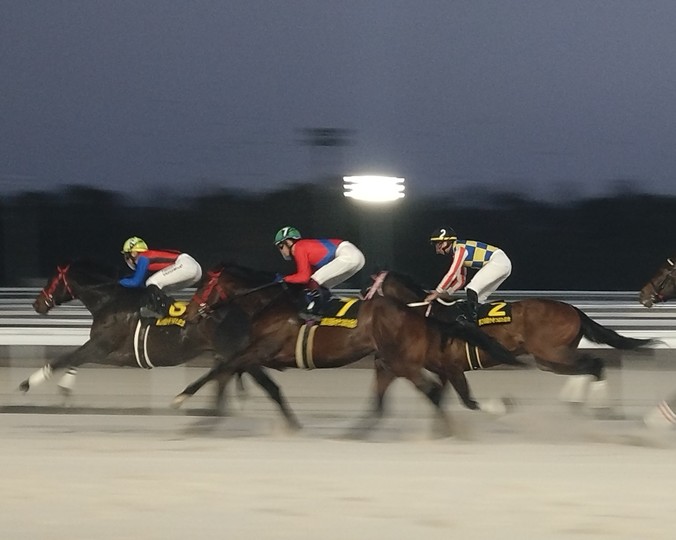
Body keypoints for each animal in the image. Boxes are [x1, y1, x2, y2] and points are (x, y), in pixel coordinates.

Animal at [24, 259, 300, 426]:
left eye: (51, 280)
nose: (37, 304)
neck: (109, 301)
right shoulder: (107, 352)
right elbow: (74, 359)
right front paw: (64, 390)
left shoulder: (104, 347)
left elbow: (66, 358)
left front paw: (28, 384)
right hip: (228, 355)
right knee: (224, 381)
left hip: (241, 355)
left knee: (267, 387)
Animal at [173, 263, 524, 434]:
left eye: (204, 286)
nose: (189, 314)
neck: (268, 302)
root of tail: (414, 310)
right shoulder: (256, 354)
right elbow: (250, 378)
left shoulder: (261, 349)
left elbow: (224, 366)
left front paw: (184, 398)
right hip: (391, 361)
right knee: (419, 392)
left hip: (401, 361)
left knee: (431, 390)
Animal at [368, 270, 657, 409]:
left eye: (372, 287)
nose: (362, 298)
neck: (432, 315)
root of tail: (574, 310)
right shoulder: (444, 369)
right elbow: (443, 395)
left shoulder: (452, 367)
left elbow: (465, 399)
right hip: (549, 359)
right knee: (587, 367)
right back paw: (576, 402)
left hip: (552, 352)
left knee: (595, 363)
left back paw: (599, 406)